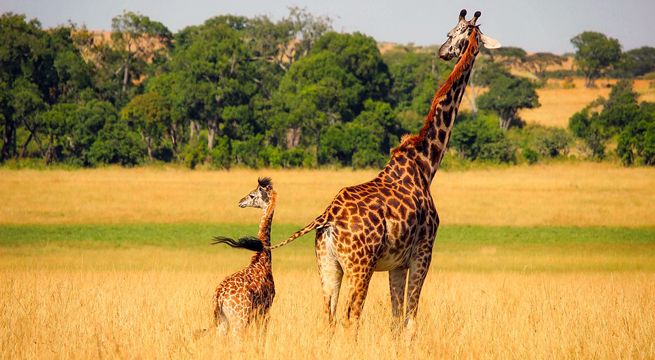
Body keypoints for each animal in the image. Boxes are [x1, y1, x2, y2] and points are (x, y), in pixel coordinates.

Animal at [211, 177, 276, 334]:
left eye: (252, 195)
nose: (240, 201)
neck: (262, 258)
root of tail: (219, 297)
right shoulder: (265, 309)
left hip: (222, 322)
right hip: (239, 320)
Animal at [272, 8, 502, 330]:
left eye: (452, 34)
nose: (443, 52)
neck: (426, 163)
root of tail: (327, 217)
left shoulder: (397, 264)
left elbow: (395, 319)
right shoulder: (423, 253)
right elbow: (410, 319)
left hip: (328, 265)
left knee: (329, 317)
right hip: (361, 265)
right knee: (351, 317)